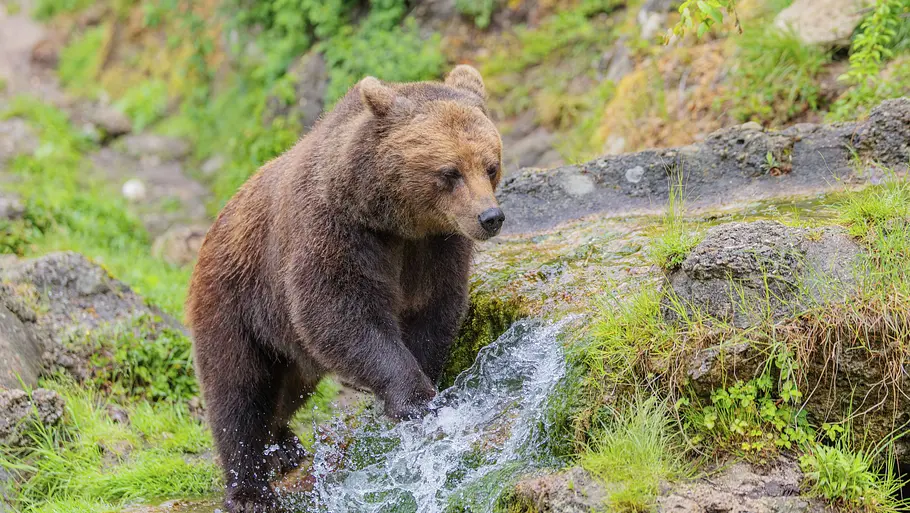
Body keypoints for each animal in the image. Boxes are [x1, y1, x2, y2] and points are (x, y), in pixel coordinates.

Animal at [185, 65, 505, 513]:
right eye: (450, 172)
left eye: (490, 166)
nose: (489, 217)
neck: (390, 220)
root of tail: (214, 228)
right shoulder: (332, 232)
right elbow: (338, 313)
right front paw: (412, 396)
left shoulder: (436, 246)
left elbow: (433, 309)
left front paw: (427, 383)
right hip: (235, 299)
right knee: (238, 393)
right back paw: (250, 489)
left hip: (283, 342)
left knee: (289, 390)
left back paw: (285, 447)